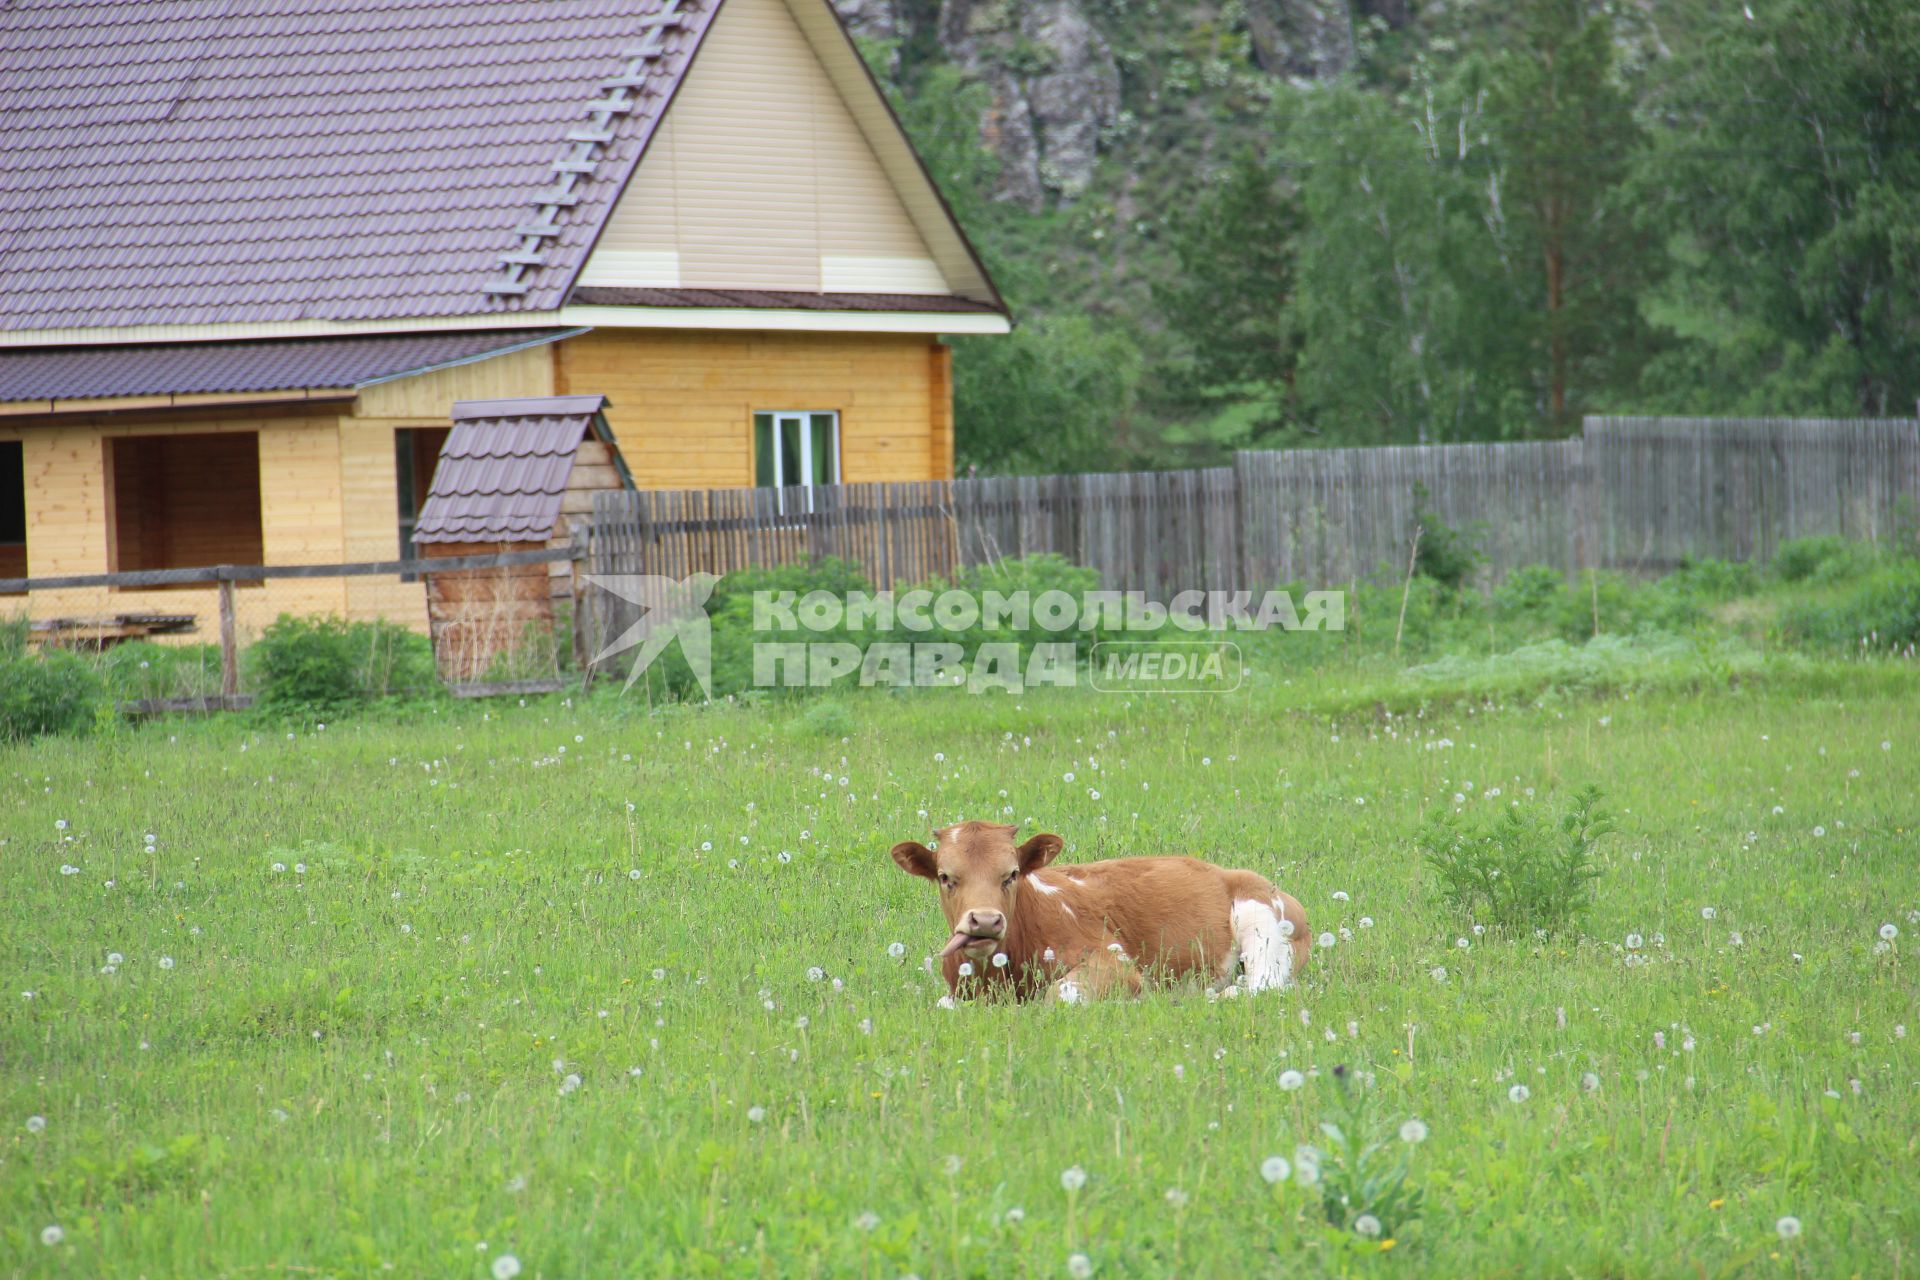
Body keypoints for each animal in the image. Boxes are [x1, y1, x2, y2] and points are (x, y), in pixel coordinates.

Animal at [883, 821, 1305, 997]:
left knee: (1261, 986)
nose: (985, 920)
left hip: (1263, 925)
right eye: (945, 877)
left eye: (1012, 874)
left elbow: (1060, 995)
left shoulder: (1115, 964)